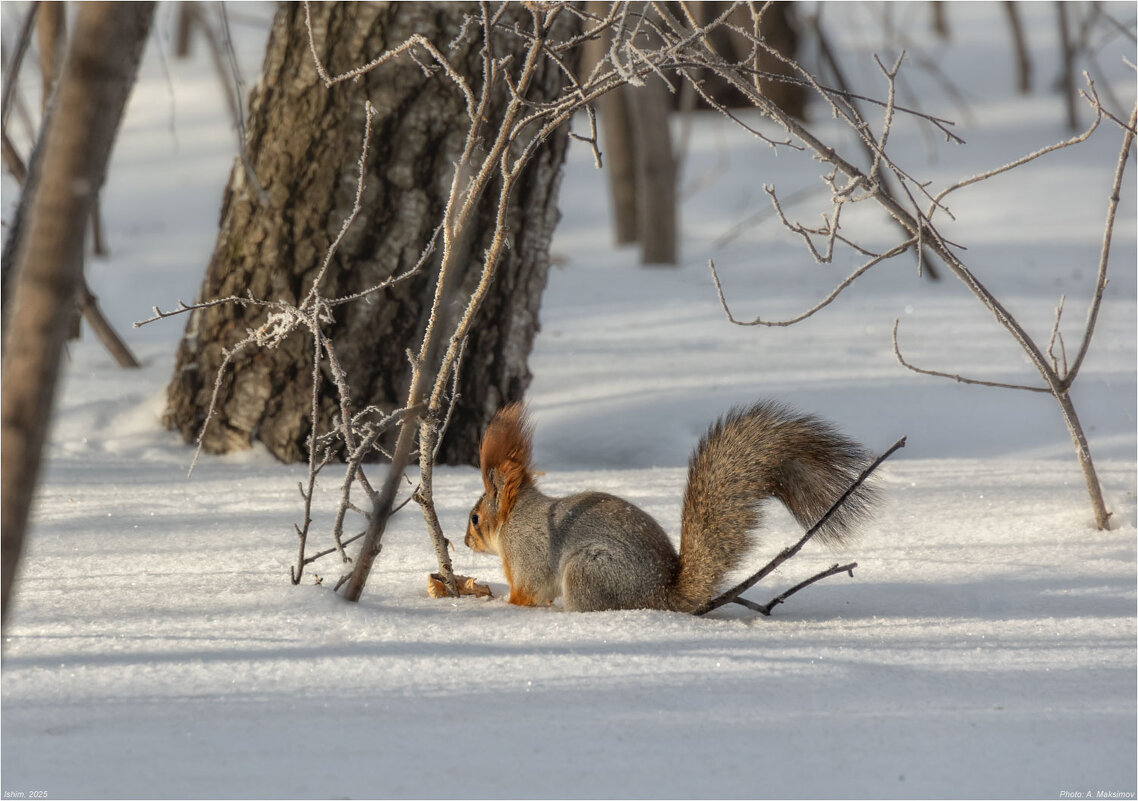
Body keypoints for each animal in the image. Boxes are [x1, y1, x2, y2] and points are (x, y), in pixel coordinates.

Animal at [462, 400, 878, 614]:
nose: (465, 542)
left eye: (475, 518)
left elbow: (528, 590)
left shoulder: (526, 552)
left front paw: (501, 601)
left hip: (587, 571)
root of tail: (662, 596)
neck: (514, 518)